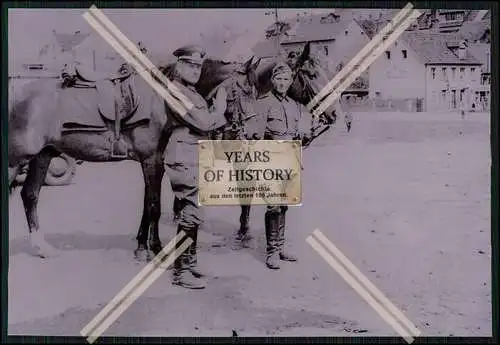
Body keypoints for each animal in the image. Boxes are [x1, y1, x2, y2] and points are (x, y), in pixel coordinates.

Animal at [7, 55, 262, 260]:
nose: (254, 134)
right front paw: (156, 248)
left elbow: (148, 204)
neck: (164, 100)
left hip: (43, 156)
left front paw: (142, 246)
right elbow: (154, 205)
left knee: (30, 195)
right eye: (243, 91)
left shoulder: (156, 162)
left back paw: (42, 248)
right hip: (17, 160)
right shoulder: (151, 160)